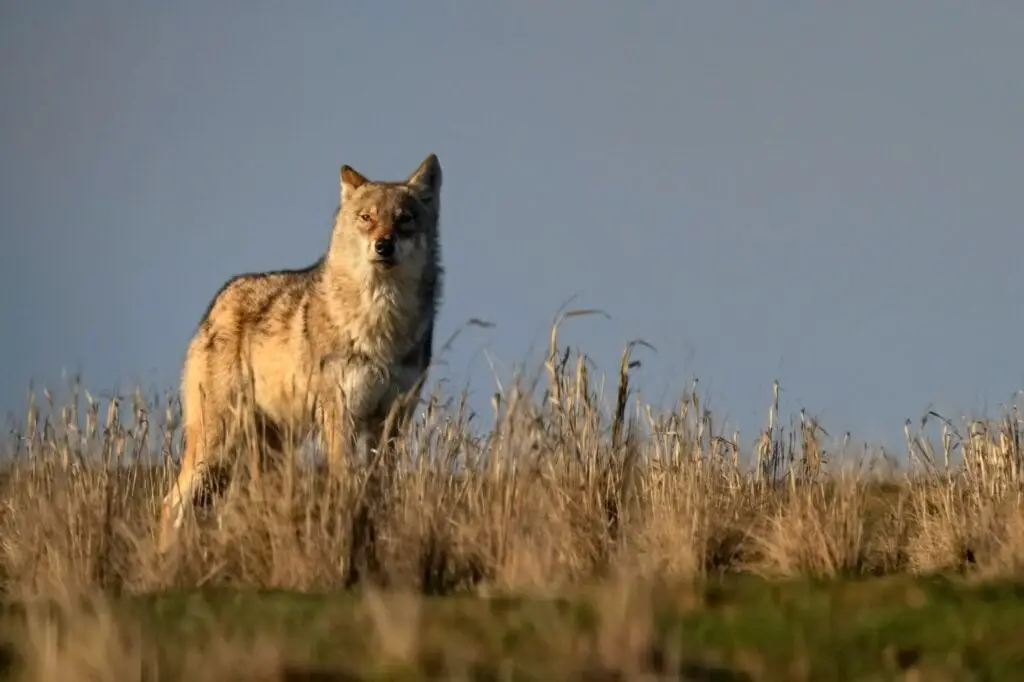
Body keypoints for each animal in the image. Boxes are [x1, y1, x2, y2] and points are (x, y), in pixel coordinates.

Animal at [157, 153, 443, 556]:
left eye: (404, 219)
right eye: (366, 218)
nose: (383, 246)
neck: (381, 322)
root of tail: (217, 302)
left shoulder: (391, 421)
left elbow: (379, 490)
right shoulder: (339, 415)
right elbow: (346, 484)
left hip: (267, 449)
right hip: (218, 444)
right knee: (172, 503)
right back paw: (163, 562)